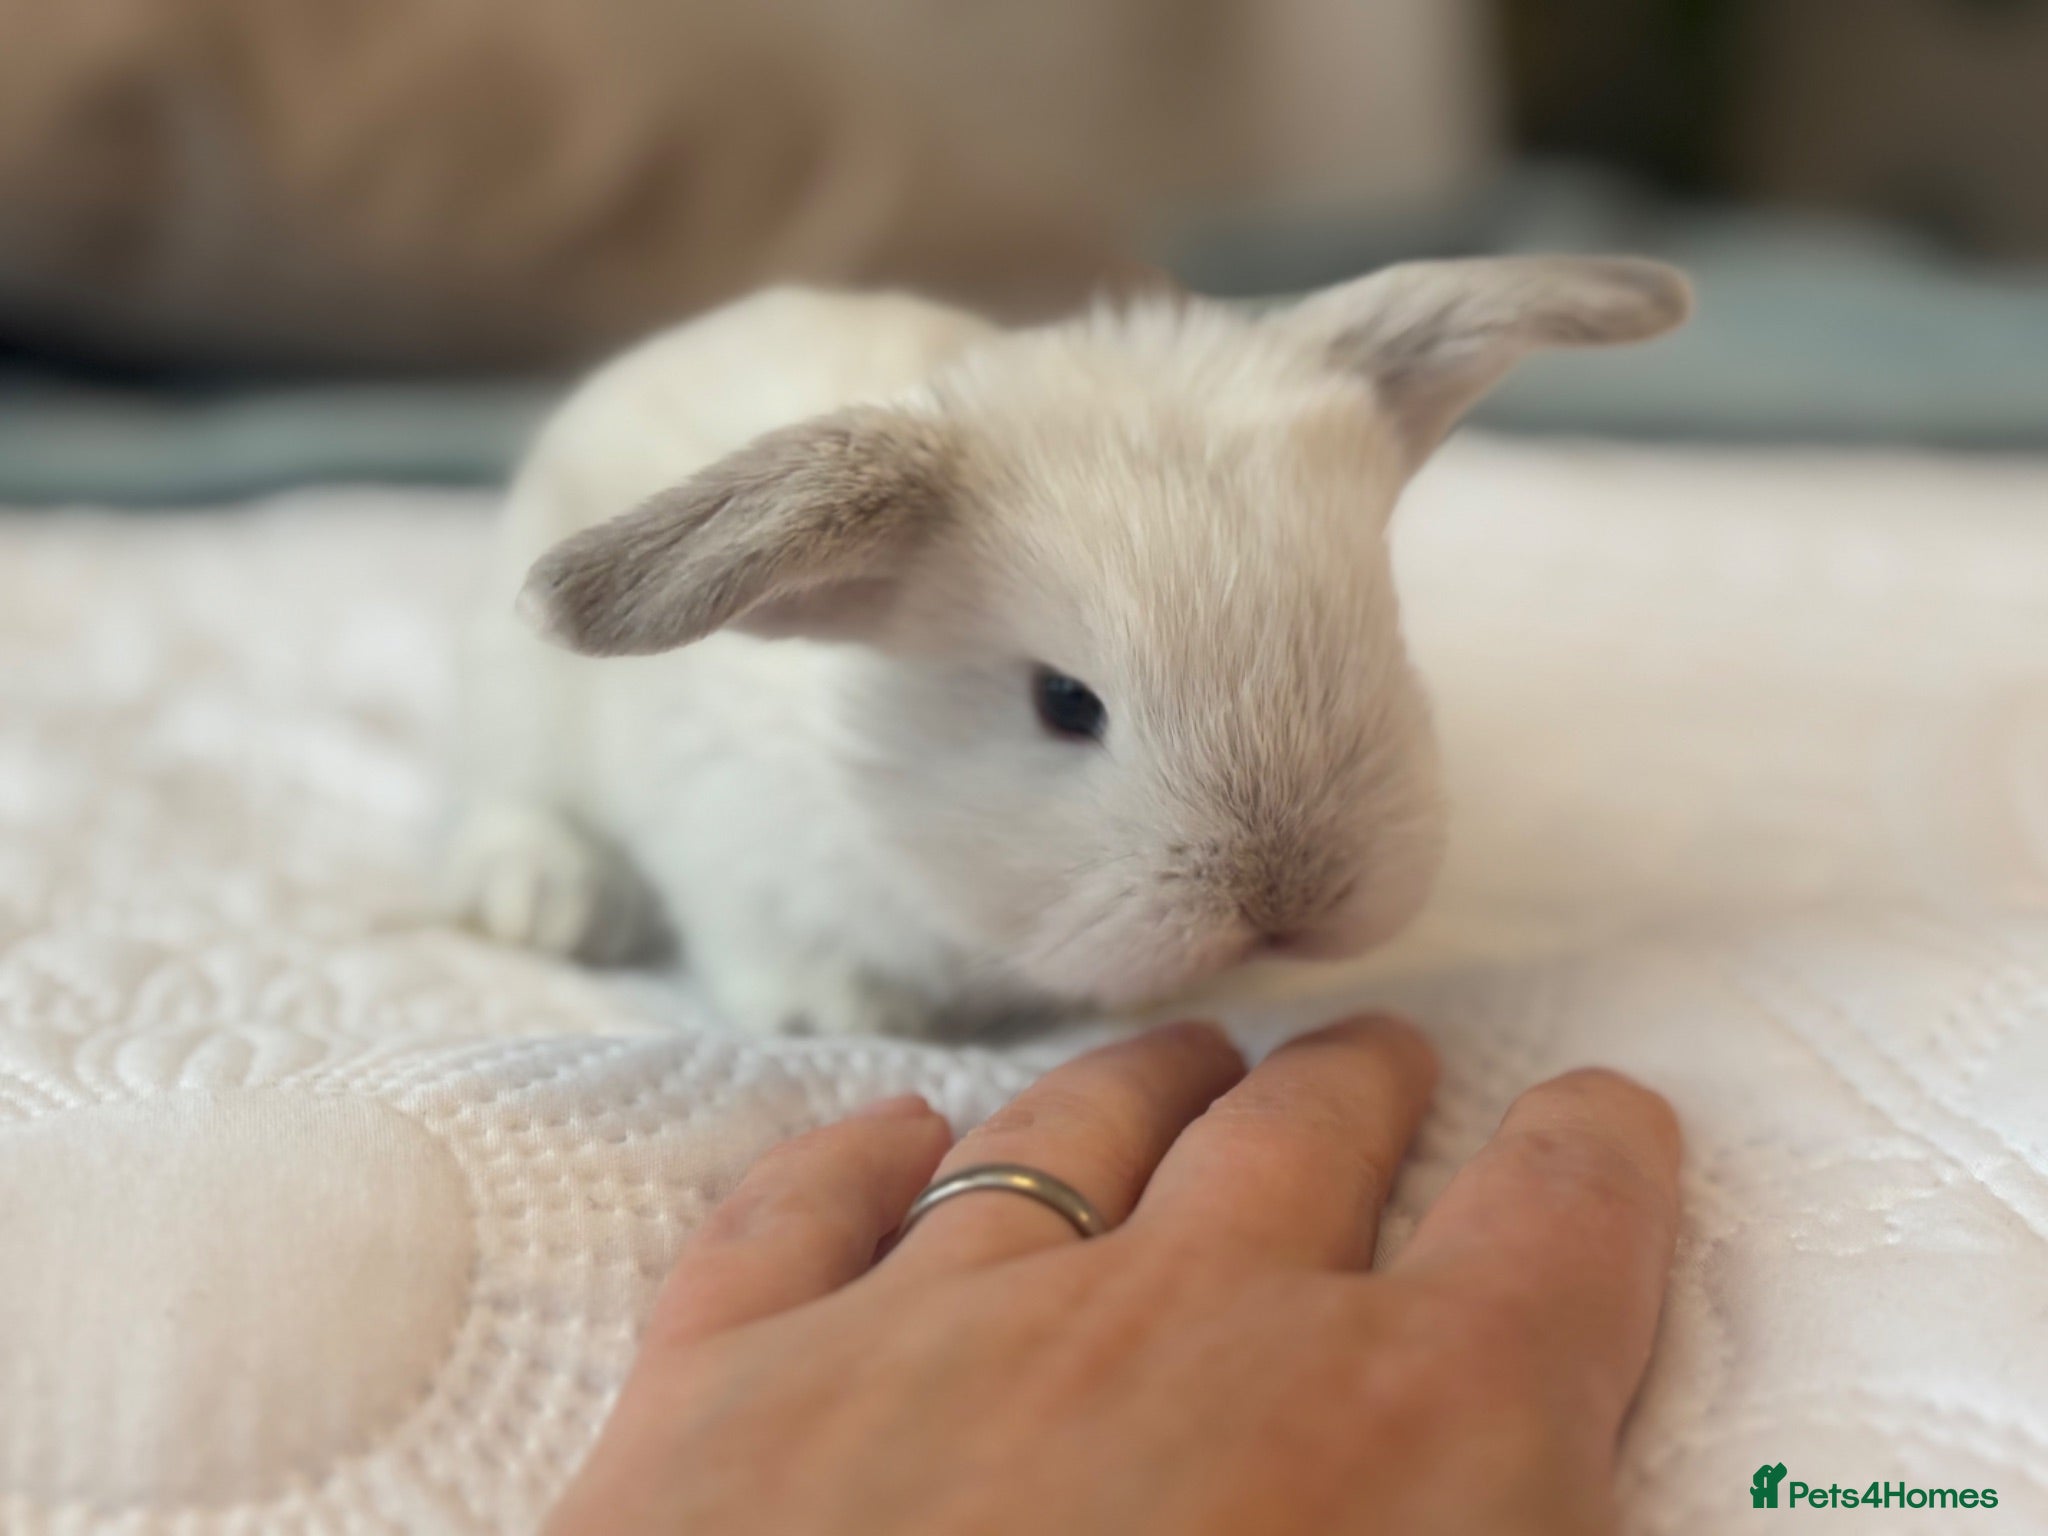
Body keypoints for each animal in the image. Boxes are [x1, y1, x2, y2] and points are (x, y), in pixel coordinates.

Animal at [446, 258, 1692, 1036]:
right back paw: (552, 899)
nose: (1285, 901)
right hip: (517, 726)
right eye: (1063, 702)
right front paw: (849, 1015)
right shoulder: (737, 863)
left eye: (1384, 627)